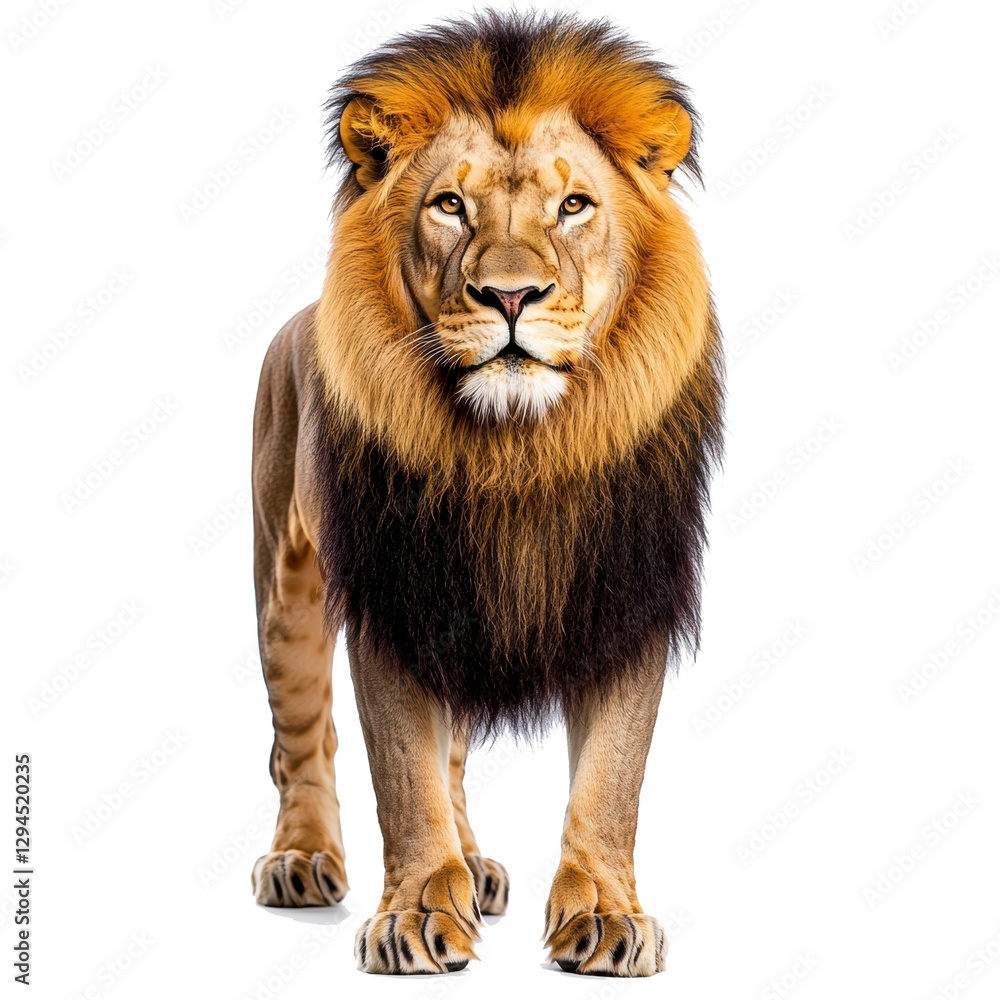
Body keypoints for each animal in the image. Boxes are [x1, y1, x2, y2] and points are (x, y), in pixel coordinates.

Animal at [248, 11, 723, 978]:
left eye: (573, 205)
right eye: (449, 206)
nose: (510, 296)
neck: (514, 453)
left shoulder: (626, 596)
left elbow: (611, 780)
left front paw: (606, 915)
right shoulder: (395, 598)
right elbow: (404, 775)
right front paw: (416, 912)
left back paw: (473, 864)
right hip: (287, 586)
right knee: (302, 740)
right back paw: (303, 859)